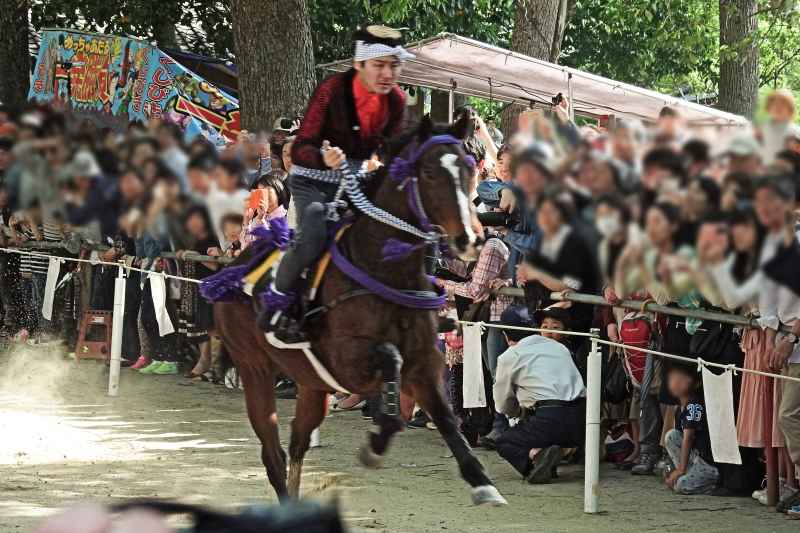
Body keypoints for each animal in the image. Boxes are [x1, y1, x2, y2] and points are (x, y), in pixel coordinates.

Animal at [214, 114, 506, 504]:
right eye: (430, 173)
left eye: (471, 169)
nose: (470, 239)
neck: (385, 269)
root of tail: (231, 271)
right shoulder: (346, 360)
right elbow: (390, 361)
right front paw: (378, 438)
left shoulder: (425, 363)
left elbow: (446, 418)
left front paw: (481, 481)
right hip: (254, 368)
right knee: (273, 452)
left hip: (311, 381)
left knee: (297, 441)